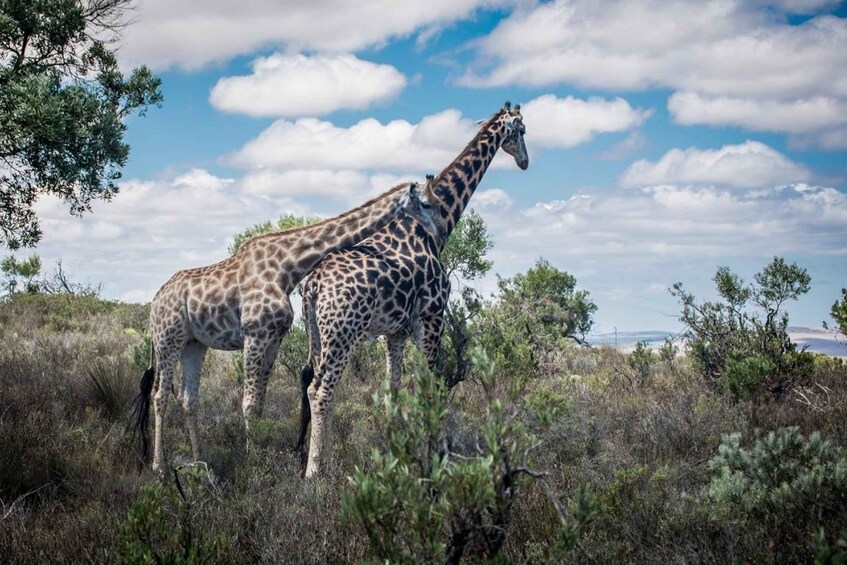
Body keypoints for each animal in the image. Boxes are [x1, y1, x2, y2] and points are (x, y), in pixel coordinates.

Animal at [133, 182, 440, 472]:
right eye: (425, 202)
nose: (436, 229)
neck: (287, 267)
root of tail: (155, 301)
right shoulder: (255, 334)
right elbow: (249, 403)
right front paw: (252, 463)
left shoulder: (273, 338)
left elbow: (260, 402)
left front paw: (257, 455)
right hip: (168, 340)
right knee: (159, 394)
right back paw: (159, 465)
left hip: (193, 344)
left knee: (188, 399)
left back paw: (200, 461)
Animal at [294, 101, 528, 476]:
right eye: (522, 131)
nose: (525, 161)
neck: (439, 225)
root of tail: (314, 285)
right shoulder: (432, 317)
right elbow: (426, 389)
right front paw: (429, 461)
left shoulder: (396, 332)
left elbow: (394, 389)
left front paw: (394, 455)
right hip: (344, 332)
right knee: (321, 390)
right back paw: (314, 473)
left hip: (316, 333)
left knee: (315, 385)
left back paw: (325, 462)